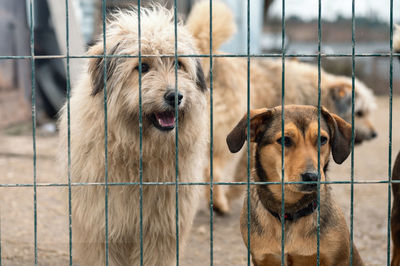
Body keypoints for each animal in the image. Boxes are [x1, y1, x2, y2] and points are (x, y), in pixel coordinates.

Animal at [59, 4, 209, 266]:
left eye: (178, 64)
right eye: (142, 67)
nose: (175, 96)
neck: (140, 150)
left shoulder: (162, 229)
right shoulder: (102, 225)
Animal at [227, 106, 364, 266]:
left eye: (322, 139)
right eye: (285, 140)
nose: (312, 177)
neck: (290, 212)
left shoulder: (338, 259)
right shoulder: (263, 258)